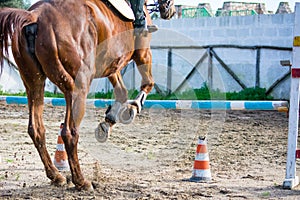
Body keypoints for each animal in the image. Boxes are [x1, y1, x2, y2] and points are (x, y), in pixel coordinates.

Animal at [0, 0, 176, 191]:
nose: (170, 11)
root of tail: (35, 16)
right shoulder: (142, 52)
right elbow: (148, 83)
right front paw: (133, 109)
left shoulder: (111, 63)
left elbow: (122, 92)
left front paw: (108, 122)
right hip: (78, 85)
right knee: (69, 133)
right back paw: (81, 181)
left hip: (34, 82)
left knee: (37, 129)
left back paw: (56, 176)